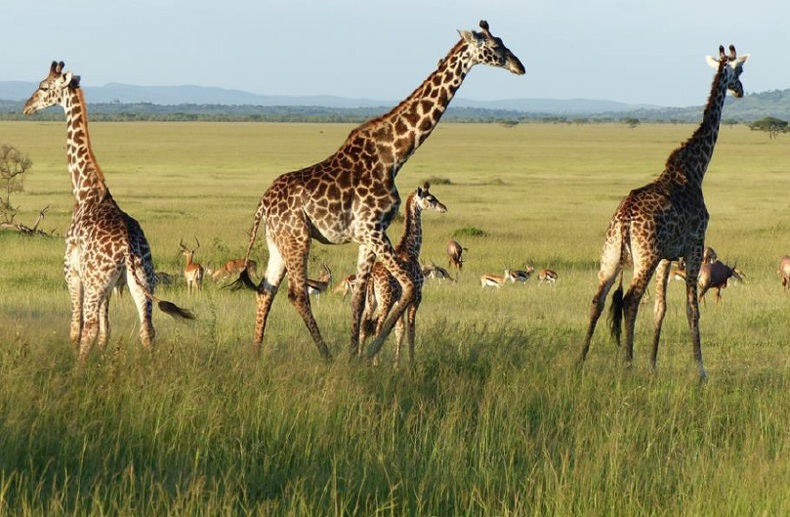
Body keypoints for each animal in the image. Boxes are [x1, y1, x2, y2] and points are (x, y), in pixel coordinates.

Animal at [23, 62, 195, 364]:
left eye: (43, 86)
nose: (26, 106)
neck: (85, 191)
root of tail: (127, 245)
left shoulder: (72, 271)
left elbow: (77, 328)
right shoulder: (113, 285)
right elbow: (107, 330)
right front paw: (104, 359)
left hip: (96, 281)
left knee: (89, 326)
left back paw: (78, 369)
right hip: (142, 278)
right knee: (147, 329)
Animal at [362, 183, 448, 364]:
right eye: (430, 198)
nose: (444, 208)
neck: (411, 250)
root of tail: (372, 278)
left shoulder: (401, 300)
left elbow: (399, 330)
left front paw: (397, 364)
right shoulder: (416, 297)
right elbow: (410, 331)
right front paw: (411, 363)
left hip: (370, 301)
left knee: (364, 326)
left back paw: (358, 356)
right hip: (385, 300)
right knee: (378, 326)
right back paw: (375, 363)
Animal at [580, 45, 752, 378]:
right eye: (739, 71)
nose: (740, 90)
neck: (694, 169)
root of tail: (623, 220)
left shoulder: (665, 256)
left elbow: (661, 309)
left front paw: (652, 364)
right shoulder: (694, 246)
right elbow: (691, 308)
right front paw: (700, 371)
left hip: (610, 256)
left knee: (598, 299)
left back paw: (580, 359)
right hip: (643, 258)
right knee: (630, 300)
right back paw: (627, 363)